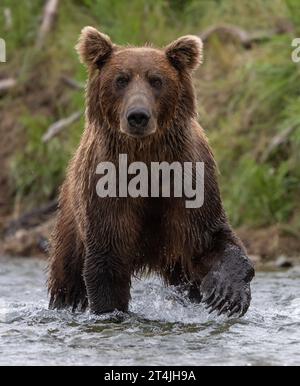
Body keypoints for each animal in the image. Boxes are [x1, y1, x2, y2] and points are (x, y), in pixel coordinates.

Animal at [48, 27, 254, 316]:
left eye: (156, 80)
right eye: (121, 79)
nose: (138, 116)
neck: (147, 162)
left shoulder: (188, 183)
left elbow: (212, 241)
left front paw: (227, 295)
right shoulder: (108, 190)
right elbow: (105, 265)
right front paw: (110, 310)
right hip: (71, 219)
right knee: (67, 275)